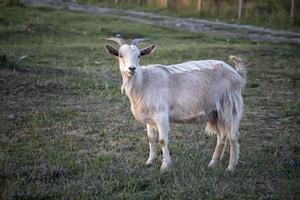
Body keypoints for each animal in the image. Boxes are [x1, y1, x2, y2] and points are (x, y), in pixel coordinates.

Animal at [104, 37, 245, 172]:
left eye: (139, 55)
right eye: (120, 55)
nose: (132, 69)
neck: (144, 82)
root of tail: (237, 74)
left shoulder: (161, 115)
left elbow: (162, 140)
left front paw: (165, 166)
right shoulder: (149, 117)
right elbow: (150, 138)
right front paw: (149, 161)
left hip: (229, 106)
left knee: (233, 136)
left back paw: (230, 168)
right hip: (216, 113)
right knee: (221, 137)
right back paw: (213, 163)